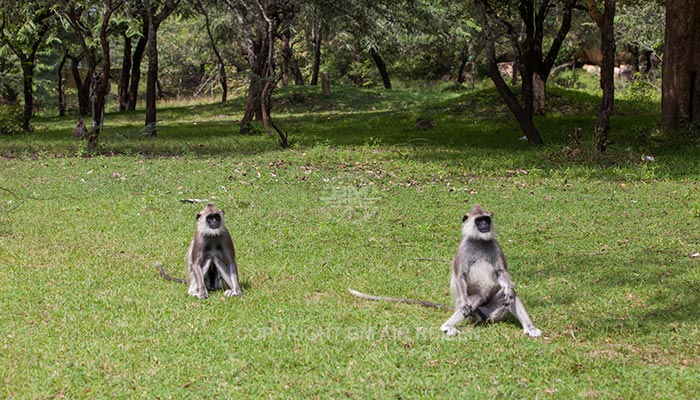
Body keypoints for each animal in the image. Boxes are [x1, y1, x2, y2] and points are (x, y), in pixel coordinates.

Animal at [350, 206, 540, 338]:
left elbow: (501, 272)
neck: (479, 241)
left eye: (486, 219)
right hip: (474, 314)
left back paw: (529, 327)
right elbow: (460, 276)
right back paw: (447, 326)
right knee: (474, 299)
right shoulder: (463, 248)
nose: (485, 224)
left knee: (510, 296)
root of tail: (487, 318)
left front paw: (509, 287)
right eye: (479, 221)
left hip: (494, 311)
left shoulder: (494, 245)